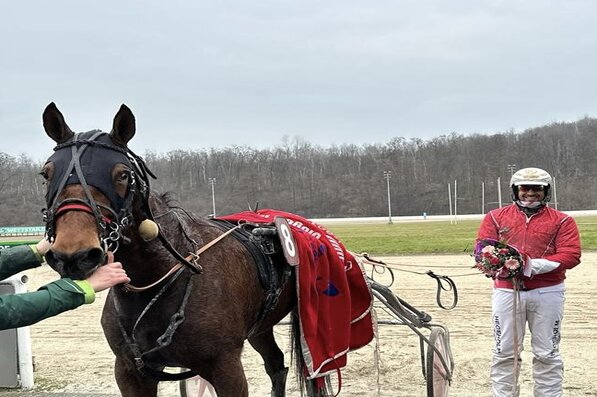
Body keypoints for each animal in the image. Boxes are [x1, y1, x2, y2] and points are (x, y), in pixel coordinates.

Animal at [39, 103, 314, 396]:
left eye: (122, 175)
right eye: (46, 174)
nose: (74, 254)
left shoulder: (226, 366)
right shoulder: (129, 370)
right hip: (261, 327)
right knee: (276, 364)